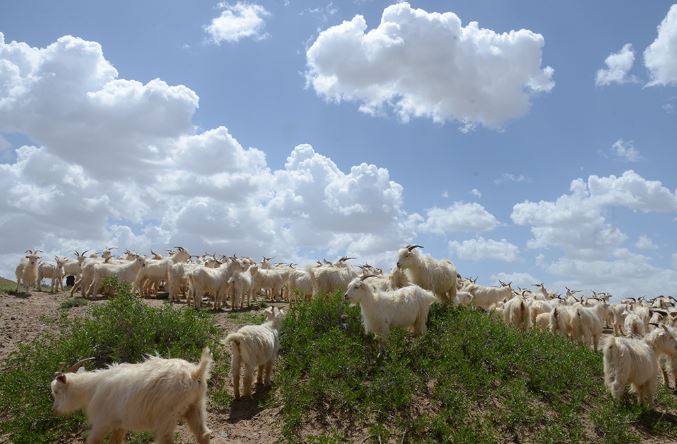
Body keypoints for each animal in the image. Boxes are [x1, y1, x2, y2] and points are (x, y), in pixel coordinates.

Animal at [50, 348, 211, 442]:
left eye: (56, 391)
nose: (55, 410)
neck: (91, 389)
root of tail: (194, 373)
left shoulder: (102, 423)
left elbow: (93, 441)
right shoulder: (119, 426)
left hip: (166, 415)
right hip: (196, 405)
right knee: (203, 434)